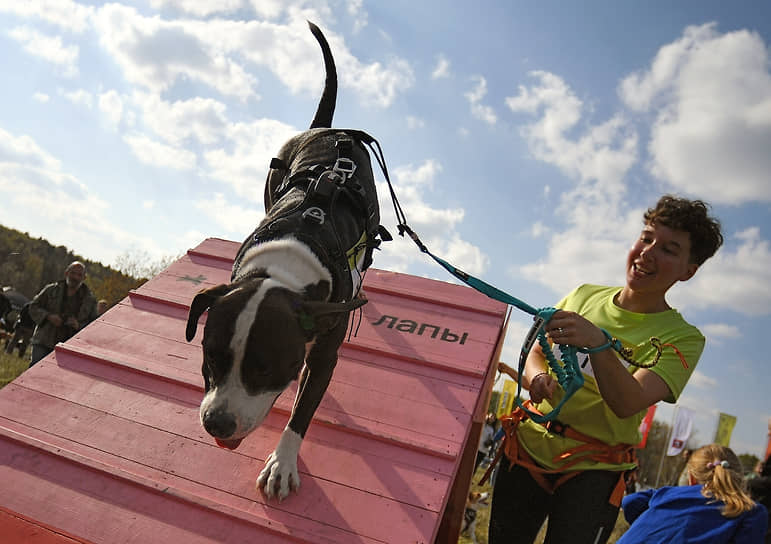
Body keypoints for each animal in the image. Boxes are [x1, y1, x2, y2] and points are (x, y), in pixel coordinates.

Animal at [185, 22, 390, 502]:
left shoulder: (327, 348)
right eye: (210, 357)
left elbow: (304, 410)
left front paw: (282, 462)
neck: (286, 265)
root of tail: (329, 130)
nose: (216, 422)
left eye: (265, 368)